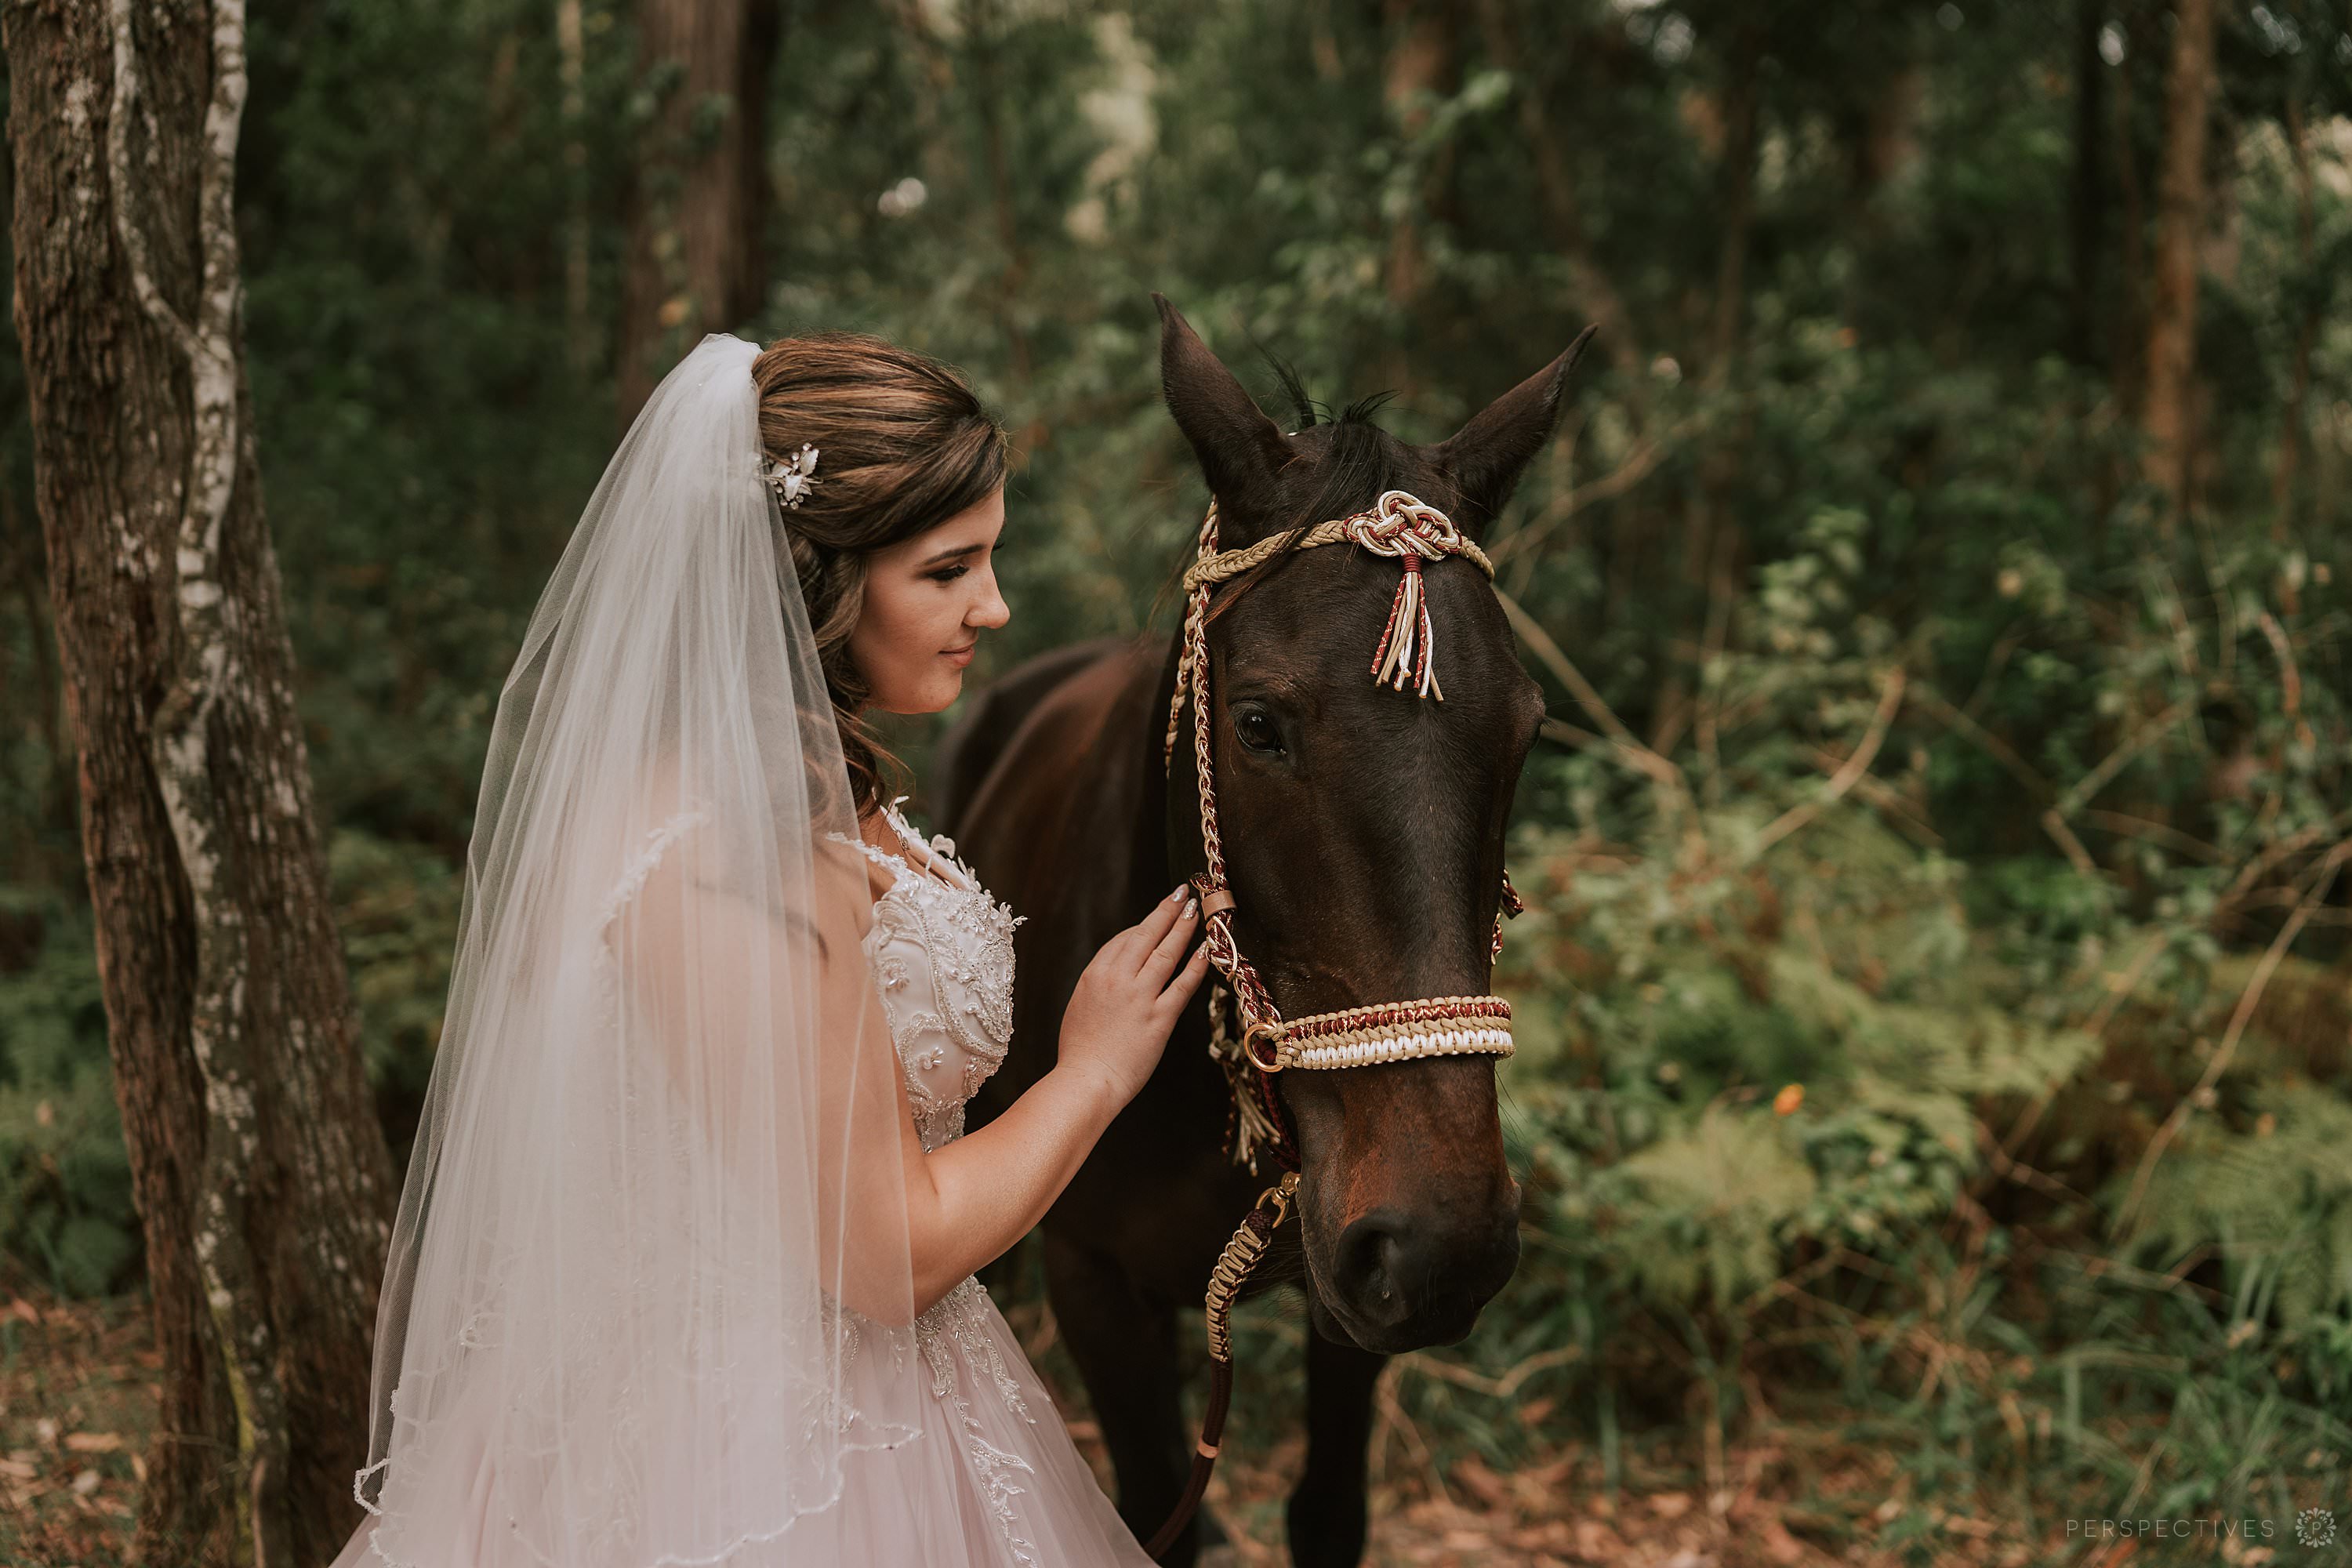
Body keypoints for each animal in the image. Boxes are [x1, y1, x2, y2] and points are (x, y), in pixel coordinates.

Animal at [932, 296, 1592, 1567]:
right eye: (1255, 724)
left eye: (1528, 731)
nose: (1447, 1239)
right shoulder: (1094, 1281)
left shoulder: (1351, 1293)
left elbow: (1326, 1508)